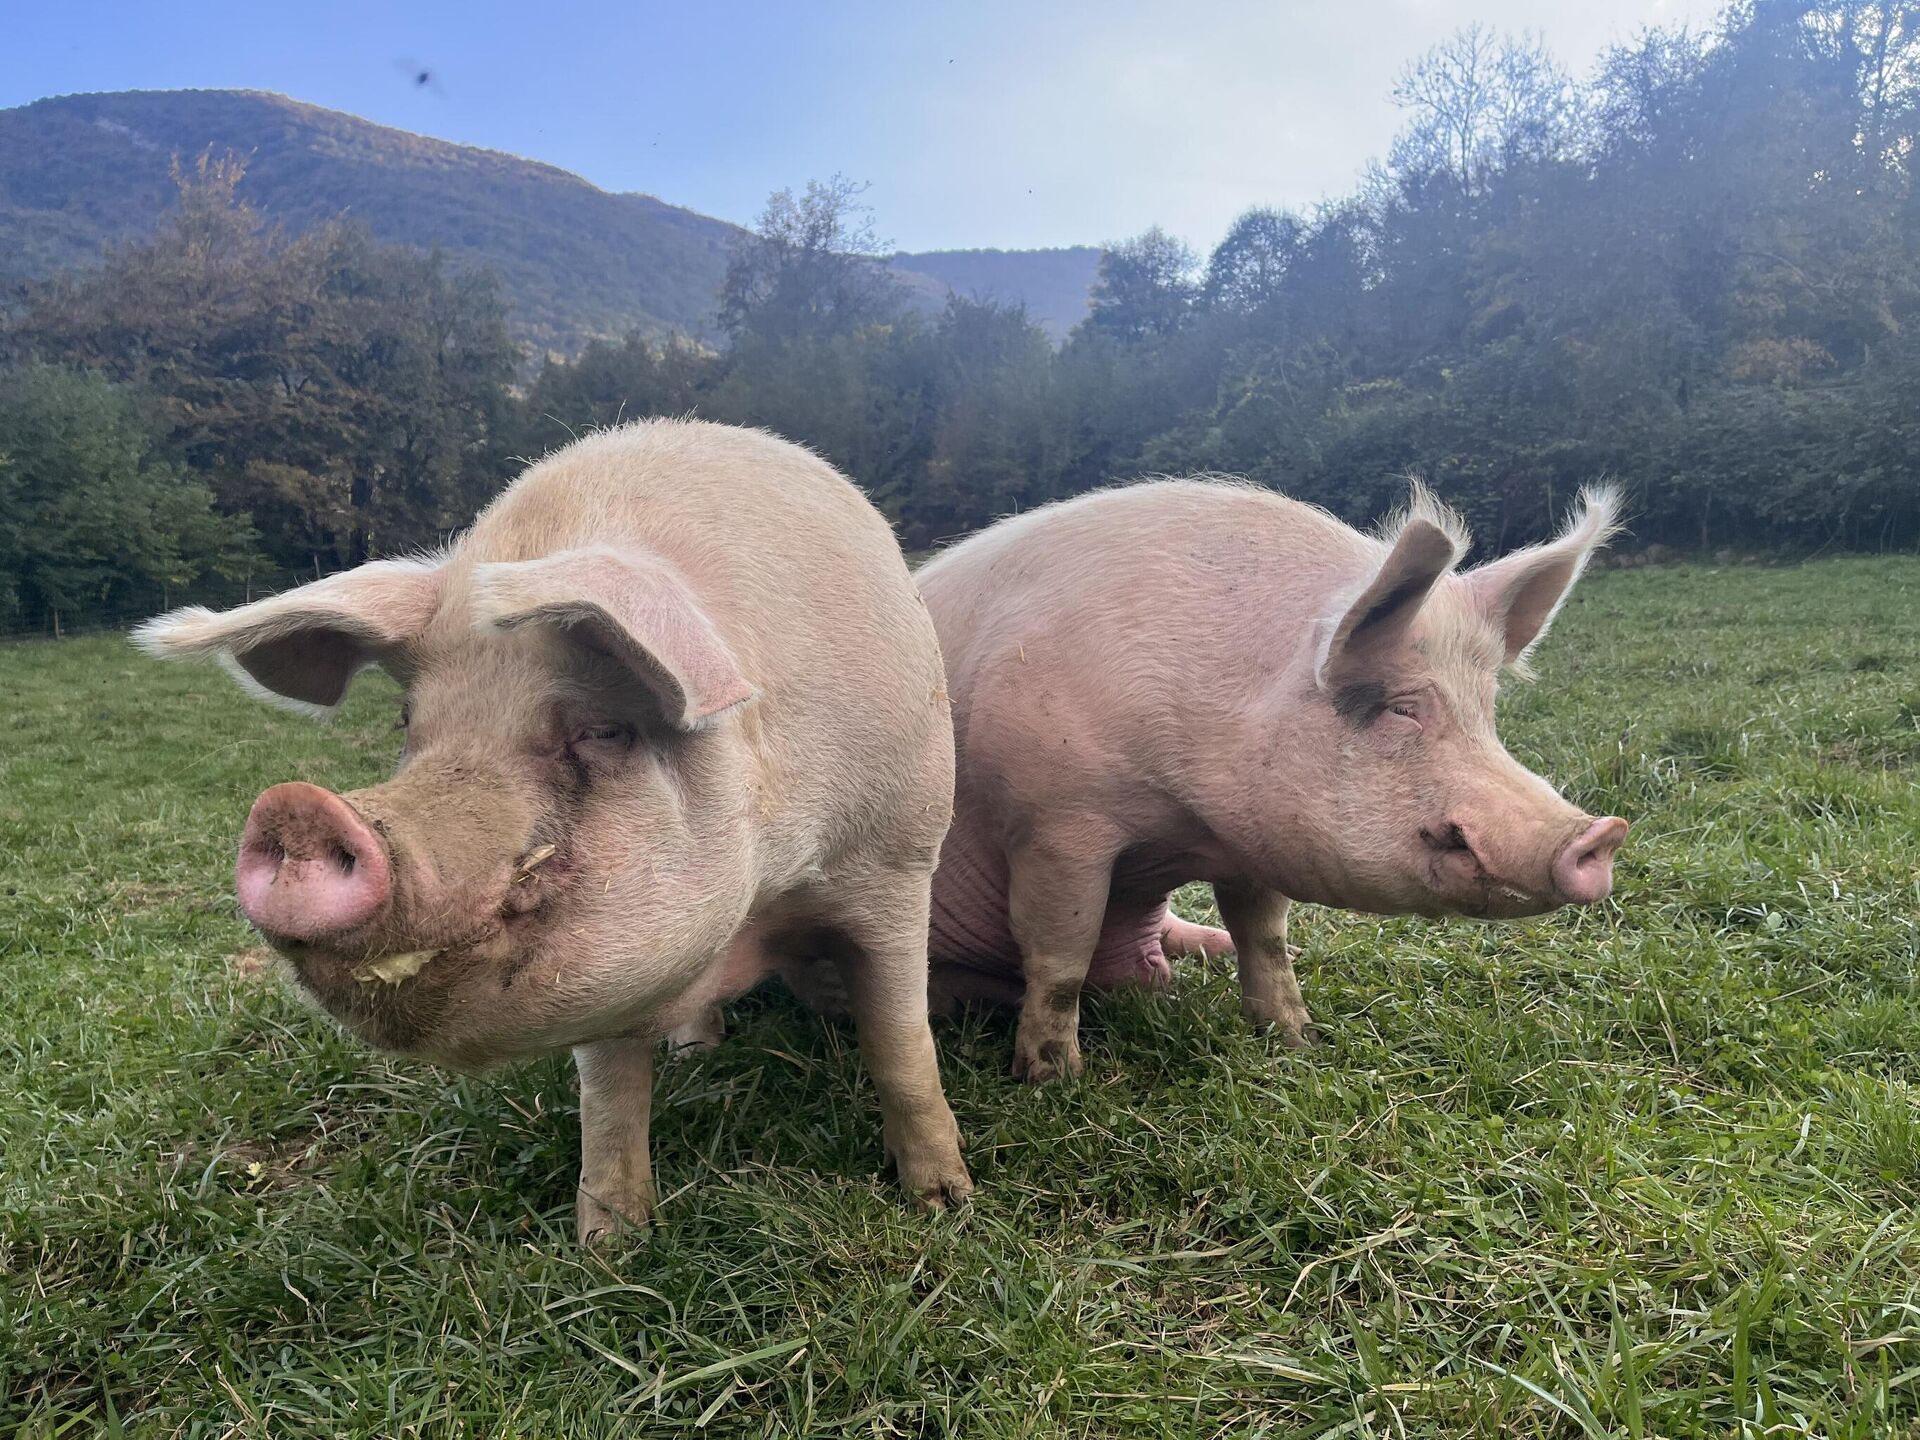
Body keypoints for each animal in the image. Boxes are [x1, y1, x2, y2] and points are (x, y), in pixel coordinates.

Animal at [913, 485, 1620, 1082]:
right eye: (1402, 708)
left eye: (1488, 713)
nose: (1601, 835)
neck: (1187, 824)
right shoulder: (1052, 823)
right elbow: (1059, 958)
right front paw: (1054, 1081)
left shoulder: (1251, 843)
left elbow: (1268, 941)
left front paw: (1300, 1040)